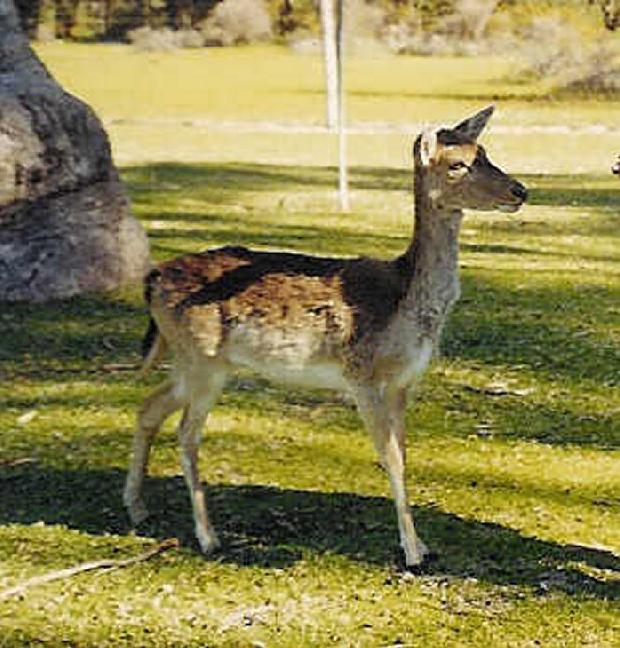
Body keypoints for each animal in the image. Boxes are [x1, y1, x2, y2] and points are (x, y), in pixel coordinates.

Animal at [123, 106, 527, 568]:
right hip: (202, 361)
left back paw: (137, 507)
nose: (520, 190)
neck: (406, 305)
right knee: (187, 434)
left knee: (149, 407)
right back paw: (208, 537)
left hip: (194, 364)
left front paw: (420, 544)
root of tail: (152, 279)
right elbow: (390, 457)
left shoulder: (404, 382)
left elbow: (404, 453)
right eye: (458, 164)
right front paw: (412, 552)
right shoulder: (362, 374)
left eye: (486, 151)